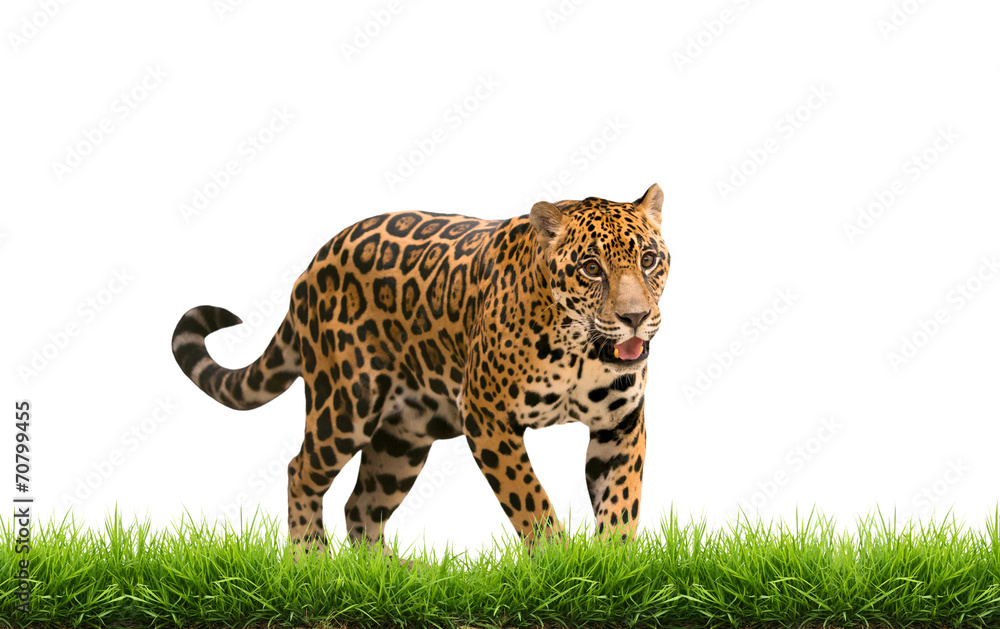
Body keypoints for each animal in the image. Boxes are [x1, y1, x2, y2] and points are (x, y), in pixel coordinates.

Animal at [171, 183, 670, 556]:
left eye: (648, 260)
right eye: (591, 268)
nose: (635, 317)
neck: (579, 349)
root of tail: (310, 269)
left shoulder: (621, 421)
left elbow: (621, 500)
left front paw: (610, 567)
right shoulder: (487, 418)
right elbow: (531, 501)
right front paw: (558, 562)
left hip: (404, 438)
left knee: (361, 506)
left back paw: (389, 576)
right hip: (346, 405)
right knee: (300, 471)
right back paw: (308, 560)